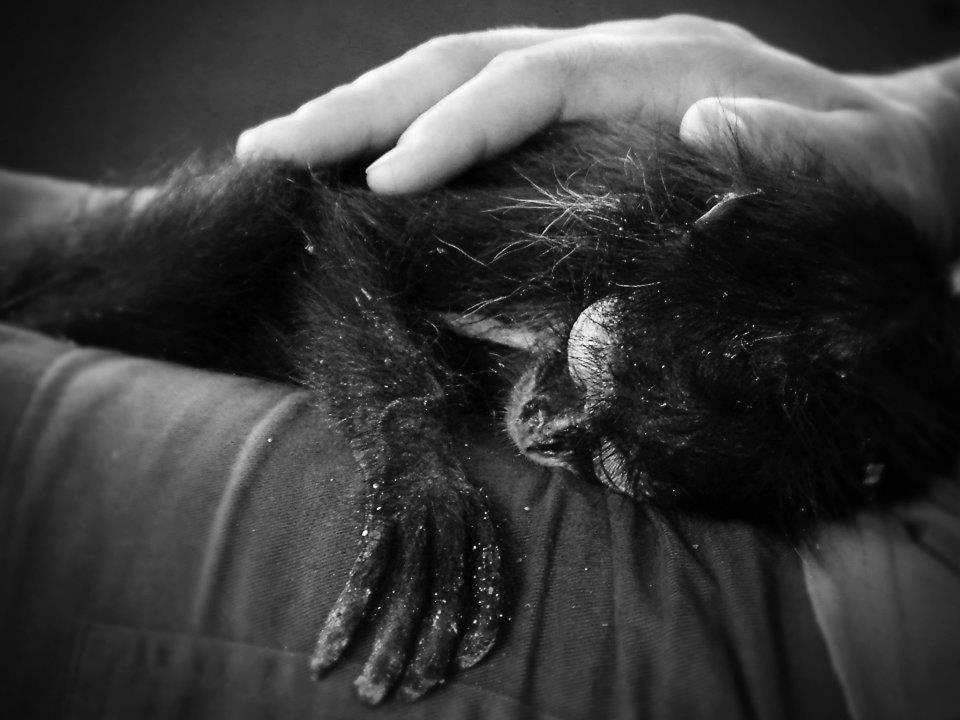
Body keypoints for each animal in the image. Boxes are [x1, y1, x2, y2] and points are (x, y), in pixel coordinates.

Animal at [1, 121, 959, 704]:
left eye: (609, 464)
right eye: (590, 354)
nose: (544, 432)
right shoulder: (587, 196)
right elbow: (345, 229)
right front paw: (420, 475)